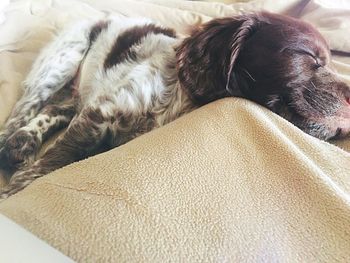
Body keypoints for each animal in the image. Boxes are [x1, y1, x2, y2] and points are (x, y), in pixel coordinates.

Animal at [0, 11, 350, 198]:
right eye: (308, 56)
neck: (180, 97)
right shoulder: (101, 112)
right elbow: (50, 163)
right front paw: (11, 195)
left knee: (57, 109)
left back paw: (23, 142)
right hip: (61, 60)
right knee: (23, 111)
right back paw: (12, 144)